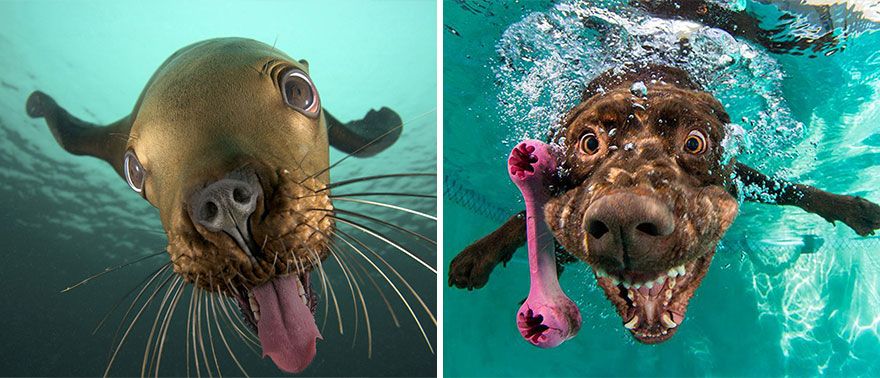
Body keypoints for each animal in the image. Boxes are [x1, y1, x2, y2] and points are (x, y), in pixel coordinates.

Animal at [450, 64, 880, 342]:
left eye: (695, 142)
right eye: (589, 143)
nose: (623, 221)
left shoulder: (745, 178)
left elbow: (792, 189)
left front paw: (852, 208)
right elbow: (521, 217)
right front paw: (479, 253)